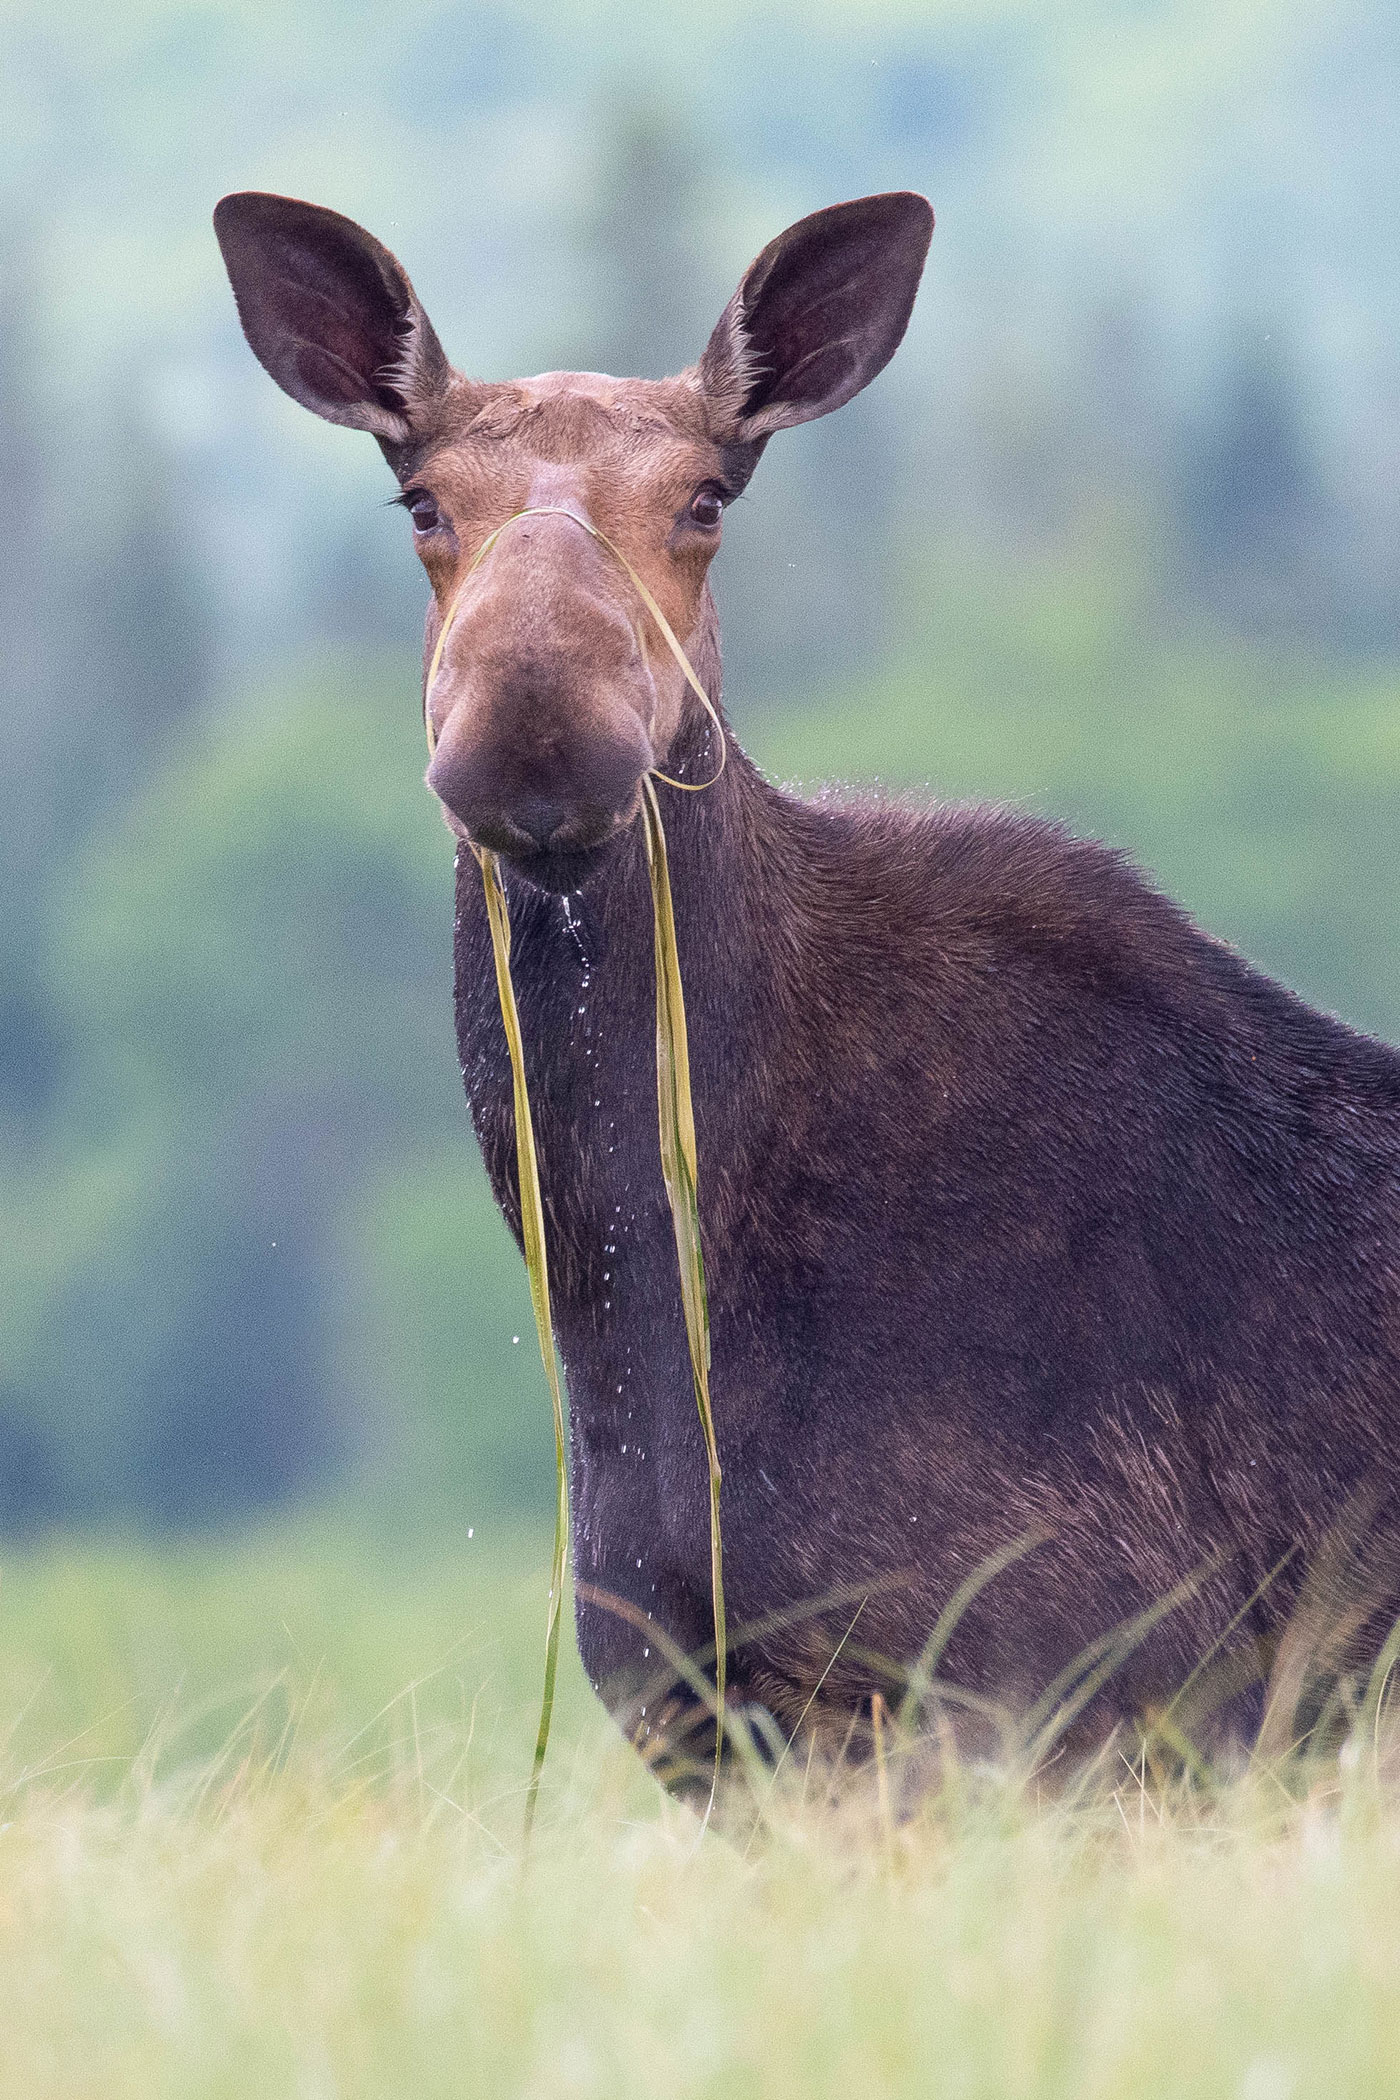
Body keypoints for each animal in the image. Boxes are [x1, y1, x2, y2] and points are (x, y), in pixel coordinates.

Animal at [214, 188, 1400, 1780]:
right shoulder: (716, 1713)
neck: (646, 1302)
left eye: (708, 497)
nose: (535, 725)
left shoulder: (1069, 1691)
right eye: (419, 504)